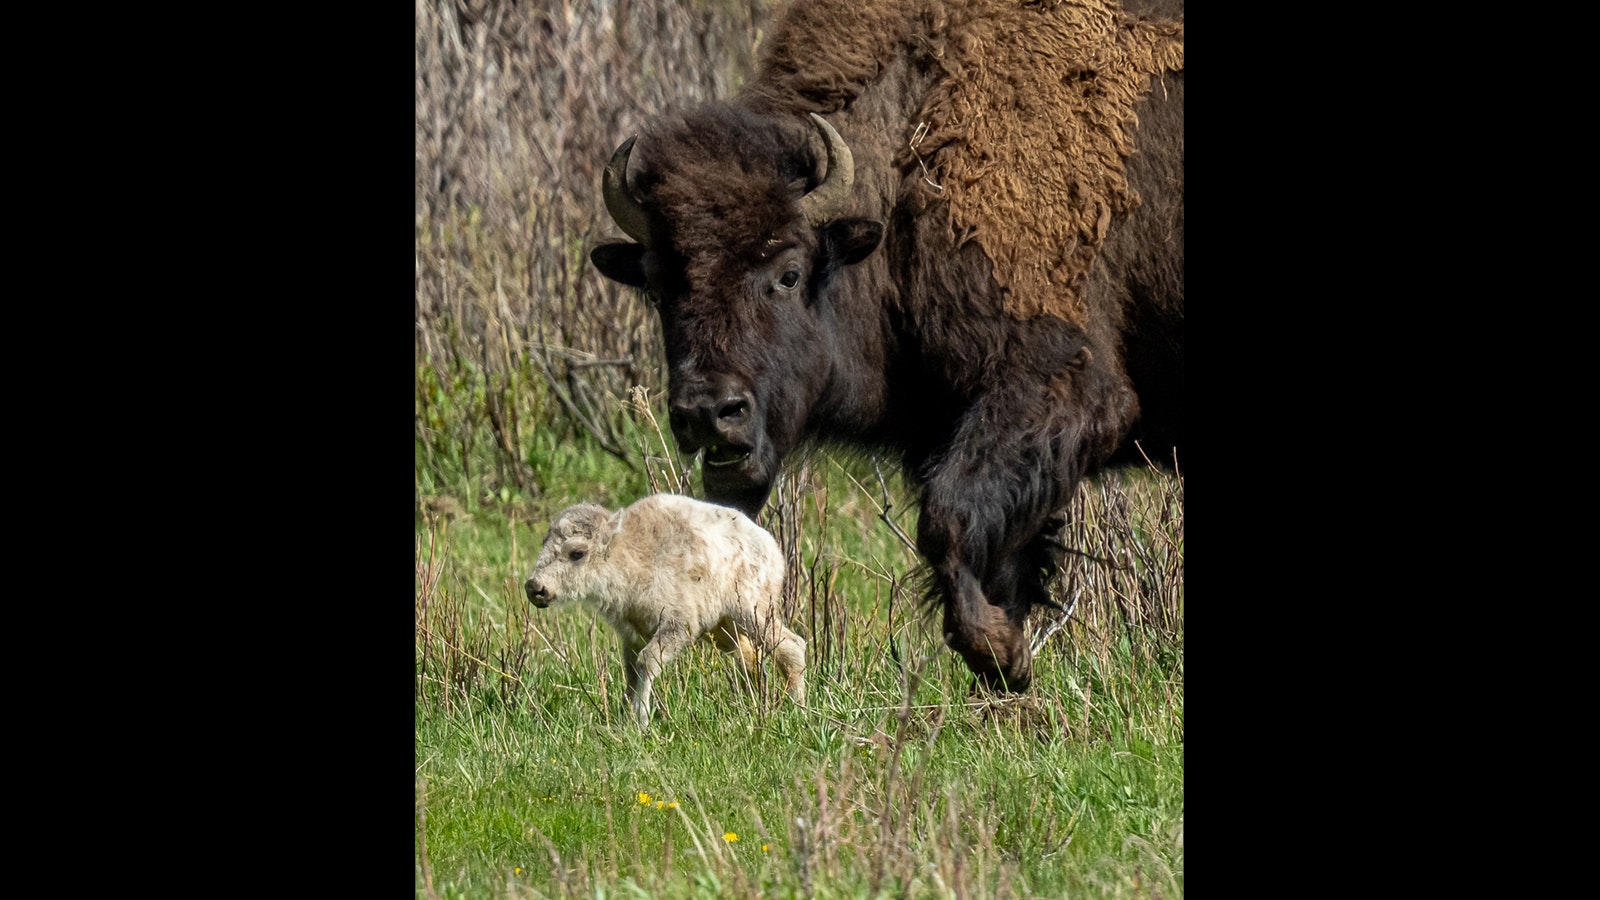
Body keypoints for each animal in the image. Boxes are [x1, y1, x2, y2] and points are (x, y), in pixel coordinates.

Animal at [524, 490, 806, 730]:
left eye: (577, 553)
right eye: (544, 542)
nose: (535, 587)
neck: (630, 552)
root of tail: (771, 547)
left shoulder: (678, 625)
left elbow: (646, 662)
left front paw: (641, 720)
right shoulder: (632, 634)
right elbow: (631, 672)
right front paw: (624, 717)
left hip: (752, 612)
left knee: (791, 646)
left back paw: (797, 708)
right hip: (725, 629)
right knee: (751, 659)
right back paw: (757, 706)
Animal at [588, 0, 1177, 688]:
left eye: (789, 273)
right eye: (657, 288)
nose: (711, 413)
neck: (909, 164)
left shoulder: (1062, 386)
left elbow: (948, 520)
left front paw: (997, 650)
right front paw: (1009, 664)